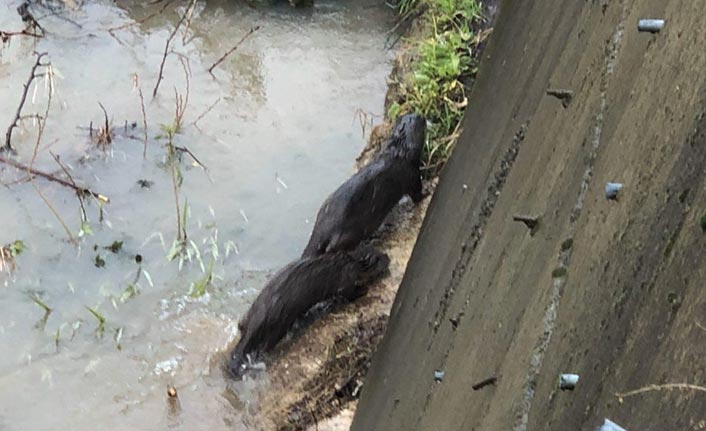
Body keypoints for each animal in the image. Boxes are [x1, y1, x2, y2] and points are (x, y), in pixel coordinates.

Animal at [226, 245, 388, 380]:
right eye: (380, 257)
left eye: (382, 252)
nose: (388, 258)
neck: (351, 262)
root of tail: (256, 320)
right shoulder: (346, 278)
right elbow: (348, 293)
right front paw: (364, 290)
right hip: (276, 326)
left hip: (250, 315)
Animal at [302, 113, 426, 258]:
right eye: (419, 119)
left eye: (407, 115)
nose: (420, 115)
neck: (401, 150)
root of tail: (322, 229)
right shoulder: (412, 173)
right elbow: (417, 193)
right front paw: (427, 192)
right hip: (349, 234)